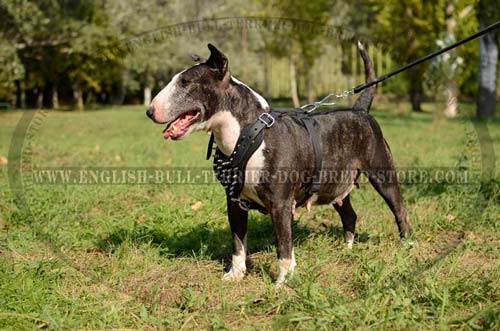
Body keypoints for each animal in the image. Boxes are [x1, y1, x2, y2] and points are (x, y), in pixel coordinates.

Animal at [146, 43, 410, 286]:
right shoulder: (234, 203)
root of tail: (360, 109)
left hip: (382, 174)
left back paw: (407, 244)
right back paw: (346, 249)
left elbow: (284, 246)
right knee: (350, 214)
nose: (149, 111)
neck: (247, 134)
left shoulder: (280, 204)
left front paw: (282, 283)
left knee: (399, 209)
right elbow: (238, 243)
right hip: (336, 184)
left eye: (186, 82)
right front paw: (235, 274)